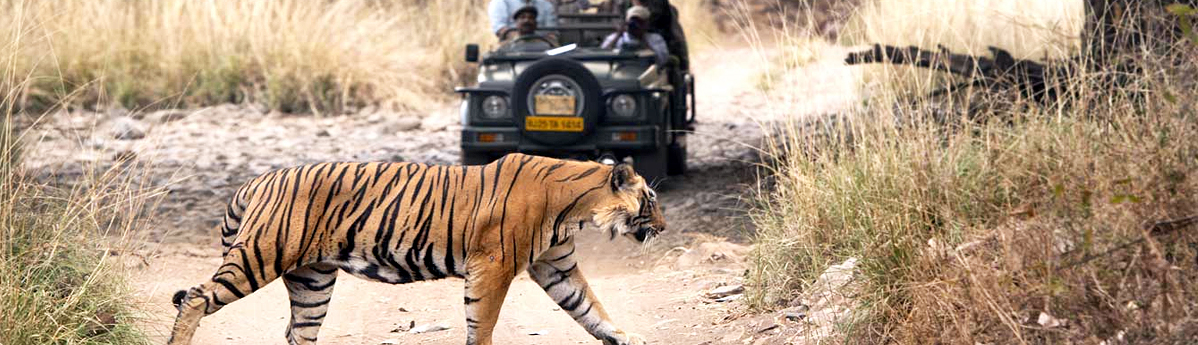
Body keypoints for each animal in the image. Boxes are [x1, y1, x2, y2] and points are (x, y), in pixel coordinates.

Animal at [166, 152, 666, 345]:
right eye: (651, 199)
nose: (663, 227)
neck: (574, 208)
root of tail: (256, 180)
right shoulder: (493, 265)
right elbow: (482, 323)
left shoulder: (555, 266)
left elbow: (591, 307)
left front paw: (627, 338)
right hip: (260, 255)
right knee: (196, 296)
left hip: (312, 280)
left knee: (298, 331)